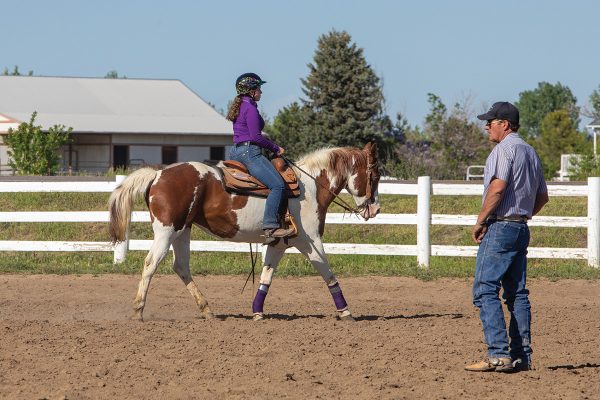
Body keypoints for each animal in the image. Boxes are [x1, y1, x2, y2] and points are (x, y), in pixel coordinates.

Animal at [108, 142, 380, 320]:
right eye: (375, 176)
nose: (375, 208)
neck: (310, 187)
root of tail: (158, 174)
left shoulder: (279, 243)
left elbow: (266, 277)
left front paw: (257, 311)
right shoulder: (309, 241)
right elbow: (328, 273)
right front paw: (345, 311)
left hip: (182, 231)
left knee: (181, 266)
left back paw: (207, 310)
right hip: (166, 231)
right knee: (151, 263)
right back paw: (138, 311)